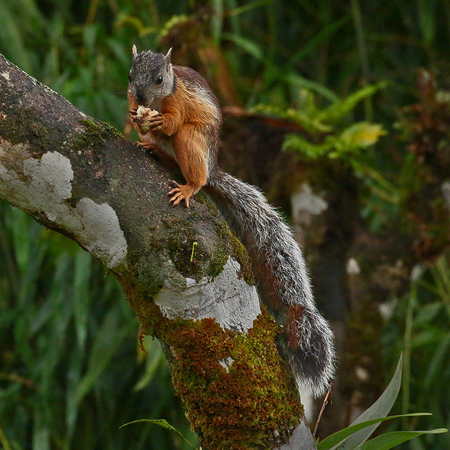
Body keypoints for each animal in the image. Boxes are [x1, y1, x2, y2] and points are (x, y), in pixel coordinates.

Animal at [126, 45, 334, 394]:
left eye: (160, 79)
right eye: (130, 74)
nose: (140, 95)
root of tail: (212, 168)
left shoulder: (179, 102)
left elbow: (172, 121)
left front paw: (156, 120)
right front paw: (135, 117)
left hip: (193, 142)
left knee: (188, 157)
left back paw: (189, 185)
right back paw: (153, 150)